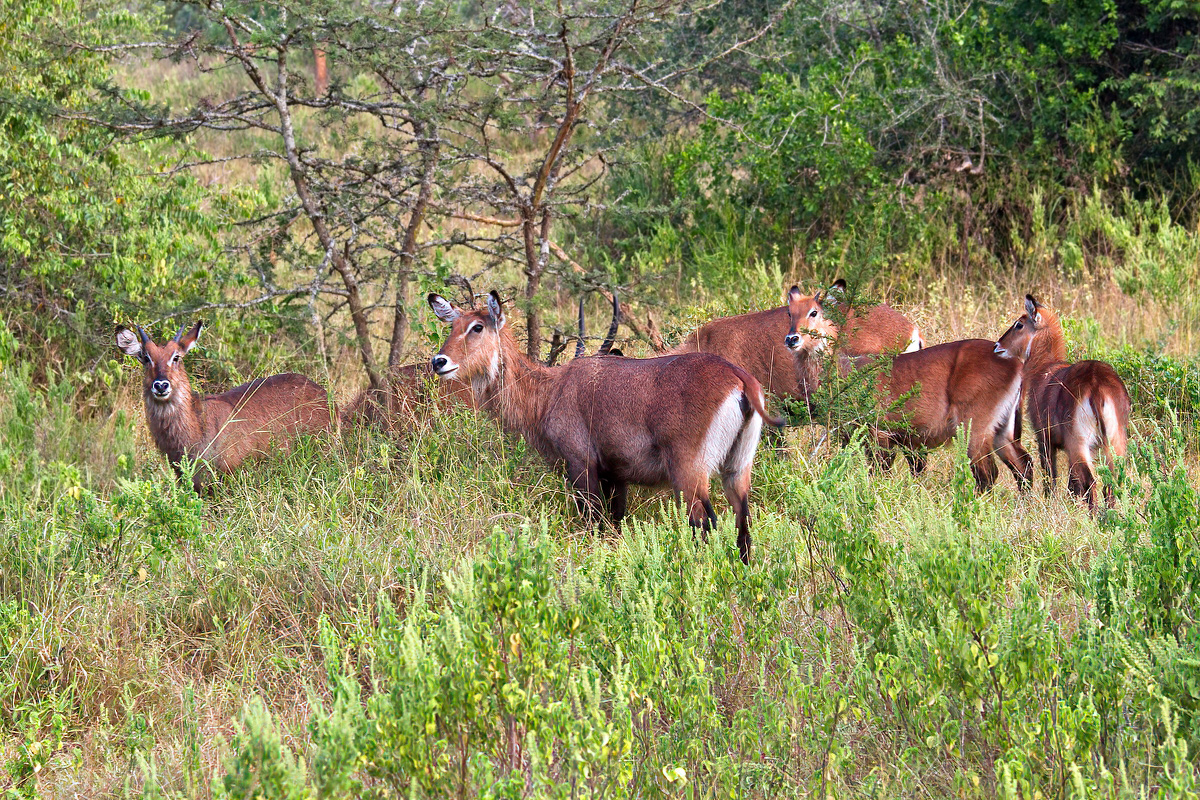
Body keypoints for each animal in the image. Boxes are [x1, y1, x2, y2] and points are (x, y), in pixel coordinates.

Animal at [427, 289, 782, 563]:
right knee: (743, 530)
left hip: (689, 473)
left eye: (477, 326)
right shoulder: (618, 476)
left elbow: (595, 526)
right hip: (737, 469)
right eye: (452, 325)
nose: (438, 361)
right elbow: (616, 523)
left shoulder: (582, 467)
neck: (549, 391)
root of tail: (739, 379)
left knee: (706, 524)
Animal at [988, 296, 1128, 513]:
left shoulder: (1044, 438)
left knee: (1091, 482)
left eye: (1019, 324)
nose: (997, 346)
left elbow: (1051, 478)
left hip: (1079, 444)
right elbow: (1072, 485)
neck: (1045, 369)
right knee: (1110, 481)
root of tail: (1097, 384)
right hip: (1114, 444)